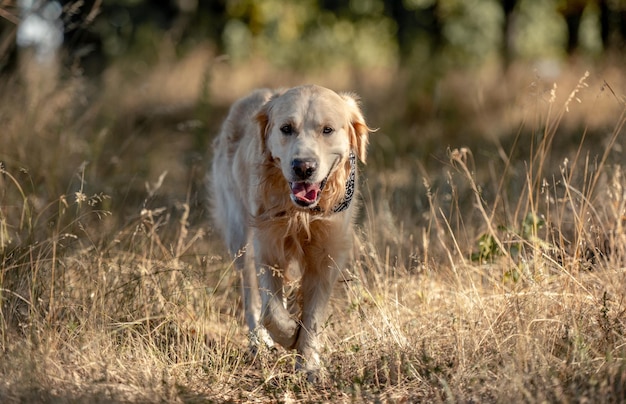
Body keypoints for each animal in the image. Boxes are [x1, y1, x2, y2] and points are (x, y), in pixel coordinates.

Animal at [211, 85, 370, 378]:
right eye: (286, 128)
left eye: (327, 130)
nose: (303, 167)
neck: (301, 215)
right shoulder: (267, 247)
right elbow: (271, 310)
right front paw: (289, 335)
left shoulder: (327, 256)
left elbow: (313, 315)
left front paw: (308, 364)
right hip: (239, 235)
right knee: (252, 296)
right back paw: (258, 341)